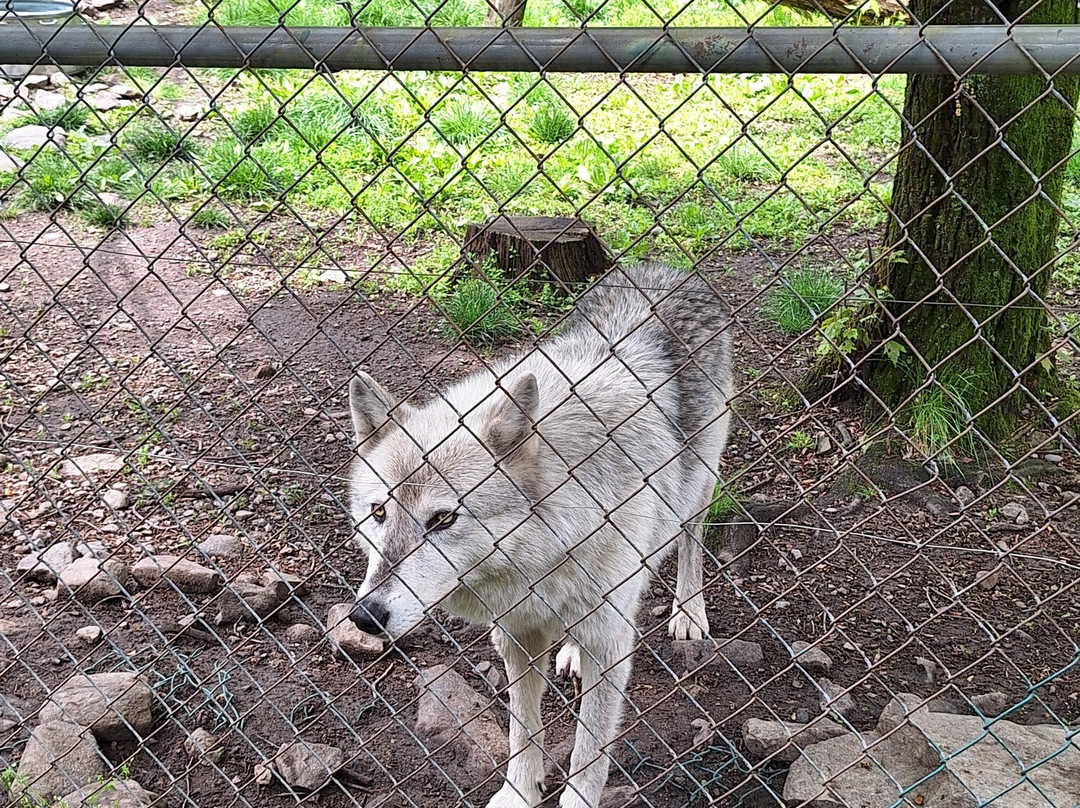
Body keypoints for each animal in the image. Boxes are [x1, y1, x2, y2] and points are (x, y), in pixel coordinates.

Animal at [346, 262, 733, 808]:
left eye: (442, 519)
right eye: (379, 512)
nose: (364, 616)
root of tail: (662, 267)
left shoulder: (611, 645)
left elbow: (588, 755)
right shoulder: (516, 634)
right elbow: (522, 731)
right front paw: (518, 792)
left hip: (700, 484)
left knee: (690, 540)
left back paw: (688, 613)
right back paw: (570, 651)